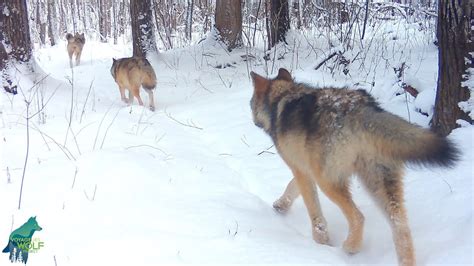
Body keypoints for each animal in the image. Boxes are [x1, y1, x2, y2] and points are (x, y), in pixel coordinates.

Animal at [250, 68, 458, 266]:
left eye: (251, 102)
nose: (252, 118)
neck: (280, 98)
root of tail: (359, 107)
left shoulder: (302, 170)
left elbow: (315, 214)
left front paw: (321, 242)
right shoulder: (305, 169)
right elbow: (291, 188)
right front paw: (280, 205)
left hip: (328, 182)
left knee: (359, 217)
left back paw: (351, 247)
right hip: (379, 186)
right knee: (401, 228)